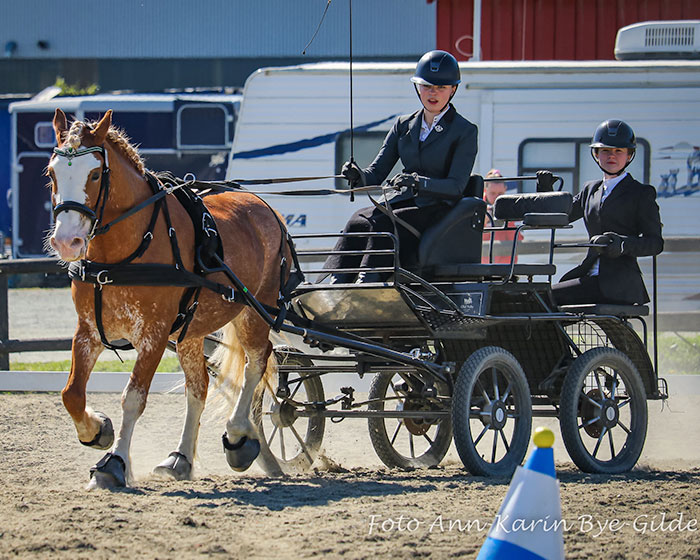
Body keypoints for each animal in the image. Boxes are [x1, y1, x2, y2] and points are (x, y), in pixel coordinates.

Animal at [47, 108, 290, 488]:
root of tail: (266, 208)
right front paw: (98, 431)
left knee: (257, 361)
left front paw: (115, 462)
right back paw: (180, 458)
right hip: (192, 332)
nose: (66, 242)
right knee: (199, 387)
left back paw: (239, 436)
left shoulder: (155, 335)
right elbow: (71, 393)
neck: (122, 254)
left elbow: (133, 398)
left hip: (253, 314)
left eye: (95, 173)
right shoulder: (87, 331)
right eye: (51, 172)